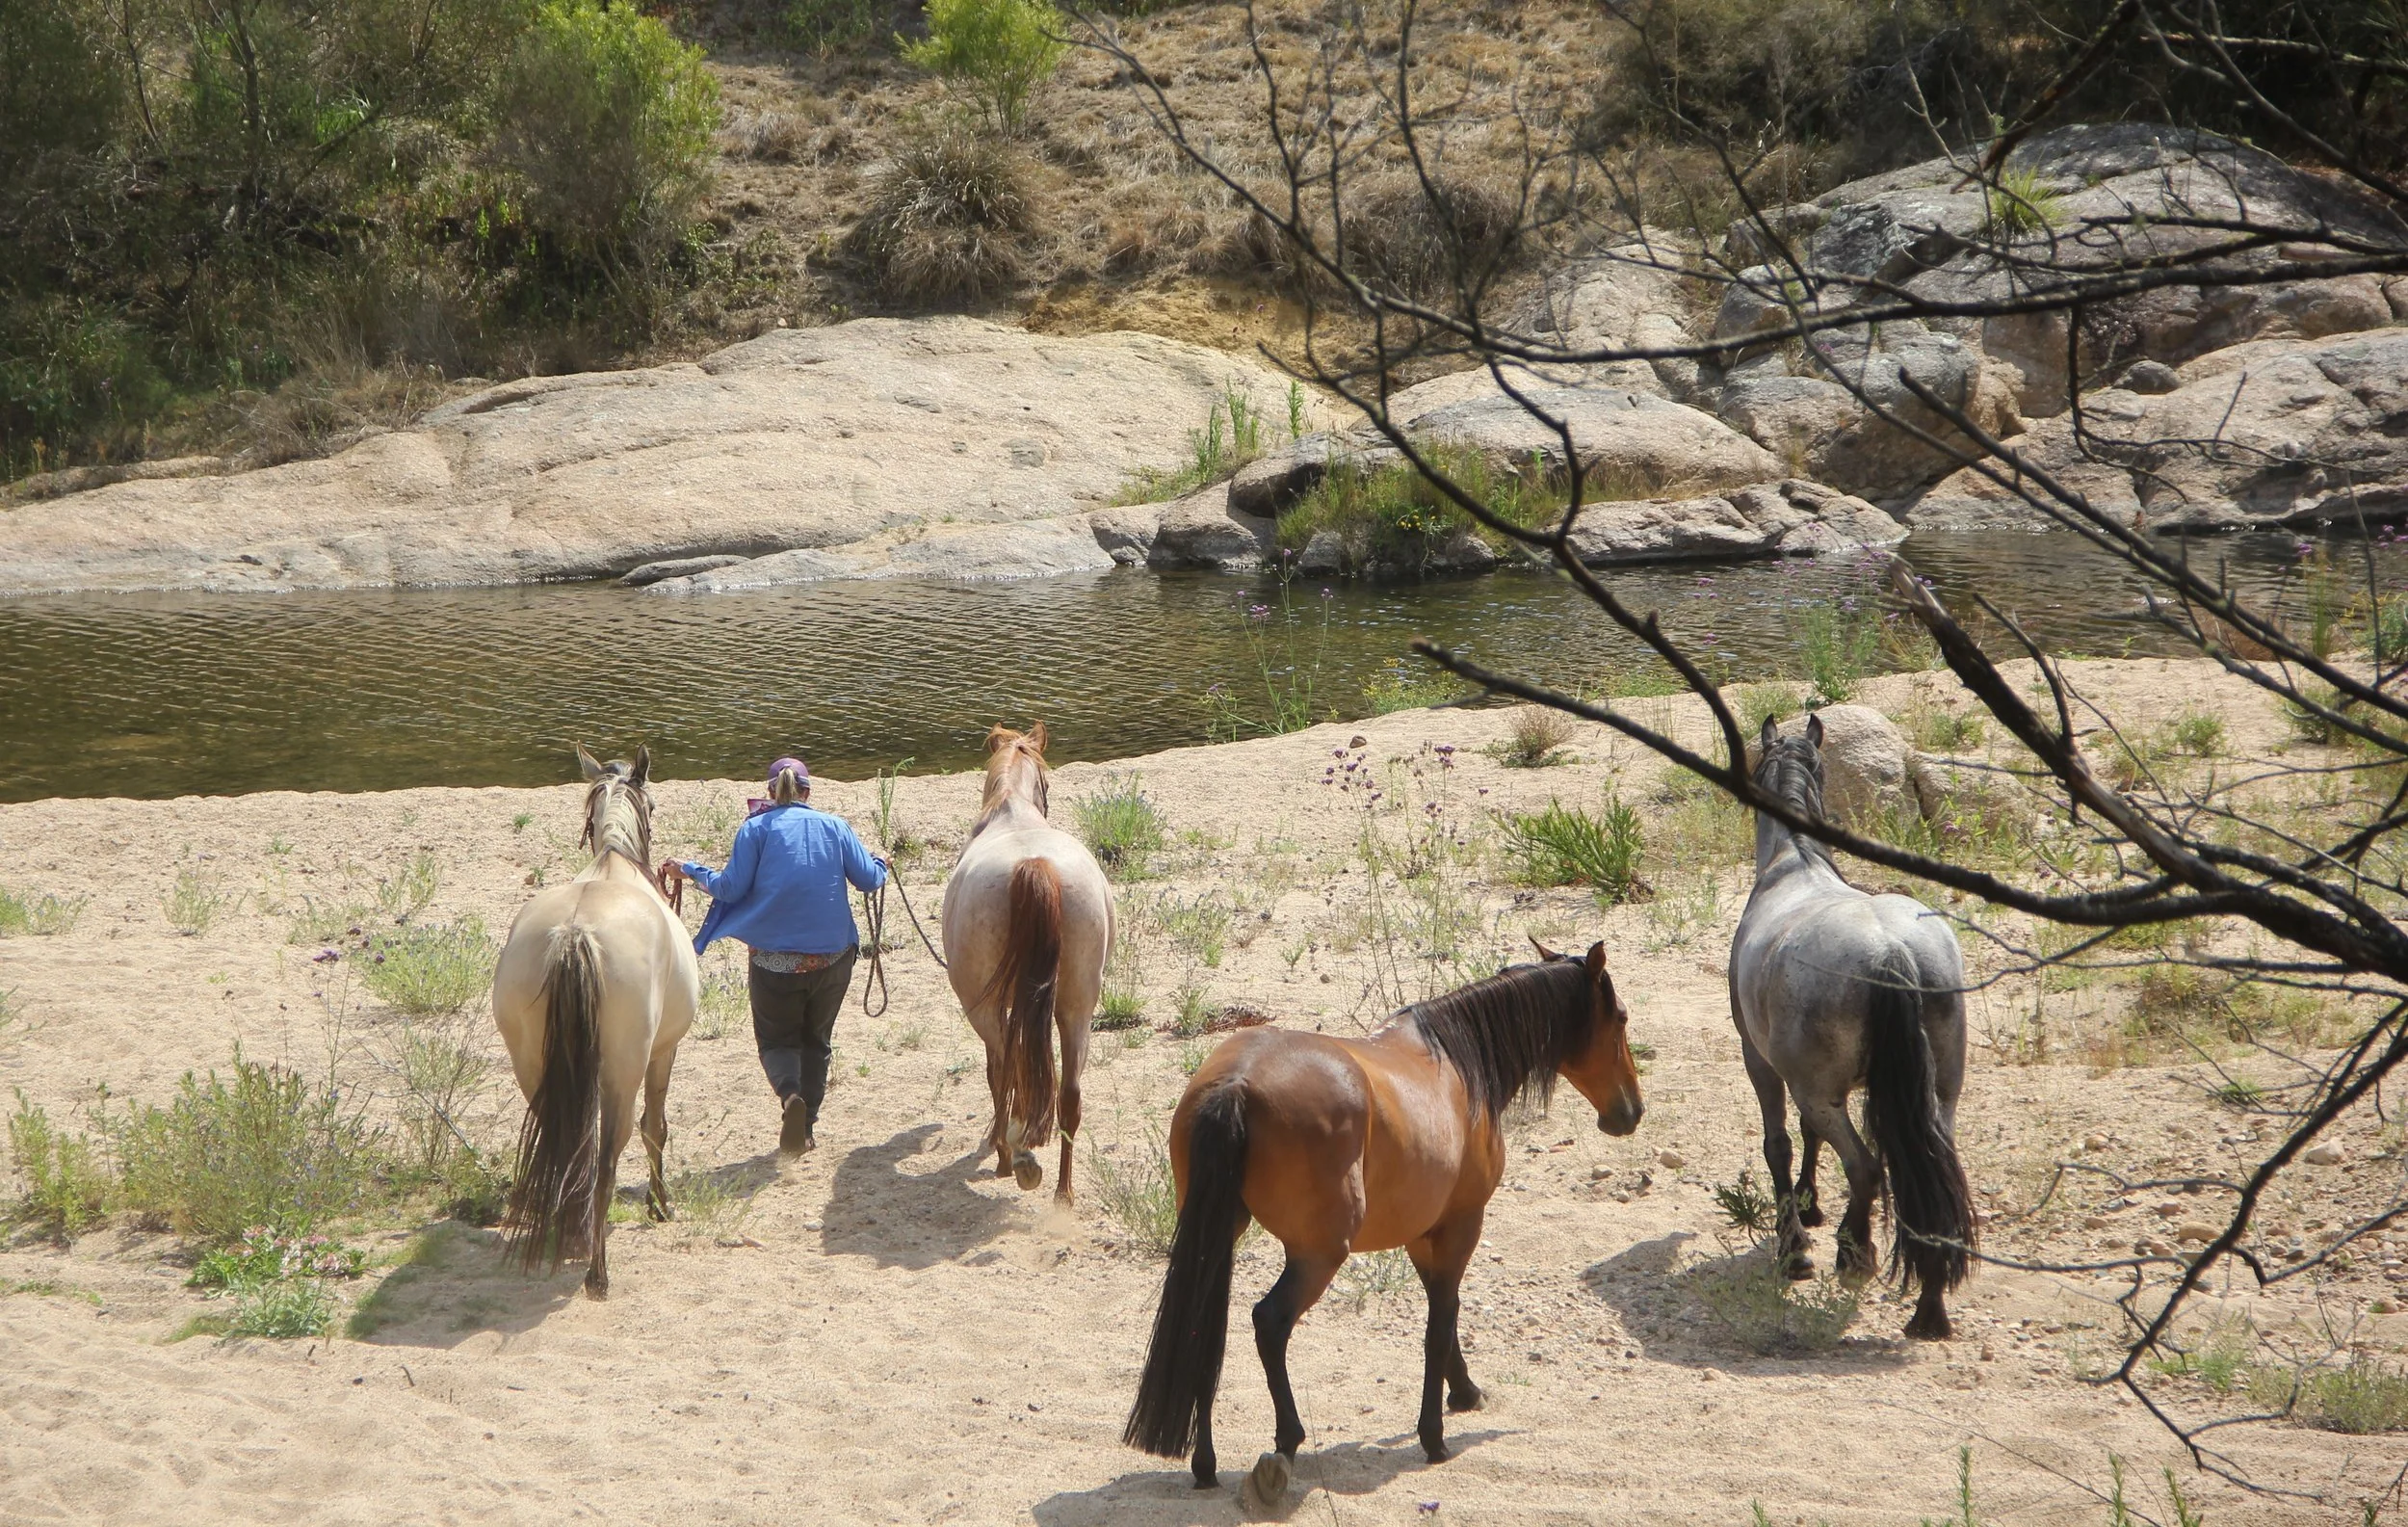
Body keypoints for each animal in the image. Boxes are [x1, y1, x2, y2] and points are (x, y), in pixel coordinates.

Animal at [491, 745, 700, 1298]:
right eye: (655, 805)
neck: (614, 863)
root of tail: (574, 933)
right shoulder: (664, 1050)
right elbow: (656, 1127)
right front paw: (660, 1204)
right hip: (621, 1074)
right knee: (606, 1157)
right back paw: (597, 1272)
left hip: (533, 1069)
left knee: (567, 1146)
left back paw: (569, 1235)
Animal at [939, 723, 1112, 1199]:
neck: (1011, 811)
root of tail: (1035, 865)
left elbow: (996, 1074)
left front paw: (999, 1154)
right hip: (1077, 1008)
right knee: (1069, 1094)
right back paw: (1062, 1195)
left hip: (983, 1009)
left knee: (1007, 1071)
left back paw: (1014, 1156)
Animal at [1124, 942, 1643, 1505]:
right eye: (1619, 1019)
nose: (1632, 1111)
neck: (1458, 1064)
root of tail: (1237, 1082)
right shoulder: (1461, 1224)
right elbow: (1439, 1325)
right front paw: (1434, 1437)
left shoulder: (1421, 1235)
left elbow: (1445, 1315)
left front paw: (1464, 1392)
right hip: (1318, 1255)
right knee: (1270, 1323)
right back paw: (1288, 1440)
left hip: (1219, 1236)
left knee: (1204, 1328)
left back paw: (1204, 1463)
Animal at [1729, 714, 1977, 1339]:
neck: (1792, 865)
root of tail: (1891, 950)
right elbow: (1807, 1139)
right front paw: (1810, 1205)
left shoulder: (1760, 1061)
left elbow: (1779, 1143)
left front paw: (1794, 1244)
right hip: (1937, 1097)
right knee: (1928, 1176)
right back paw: (1929, 1311)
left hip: (1818, 1091)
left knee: (1865, 1168)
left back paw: (1853, 1255)